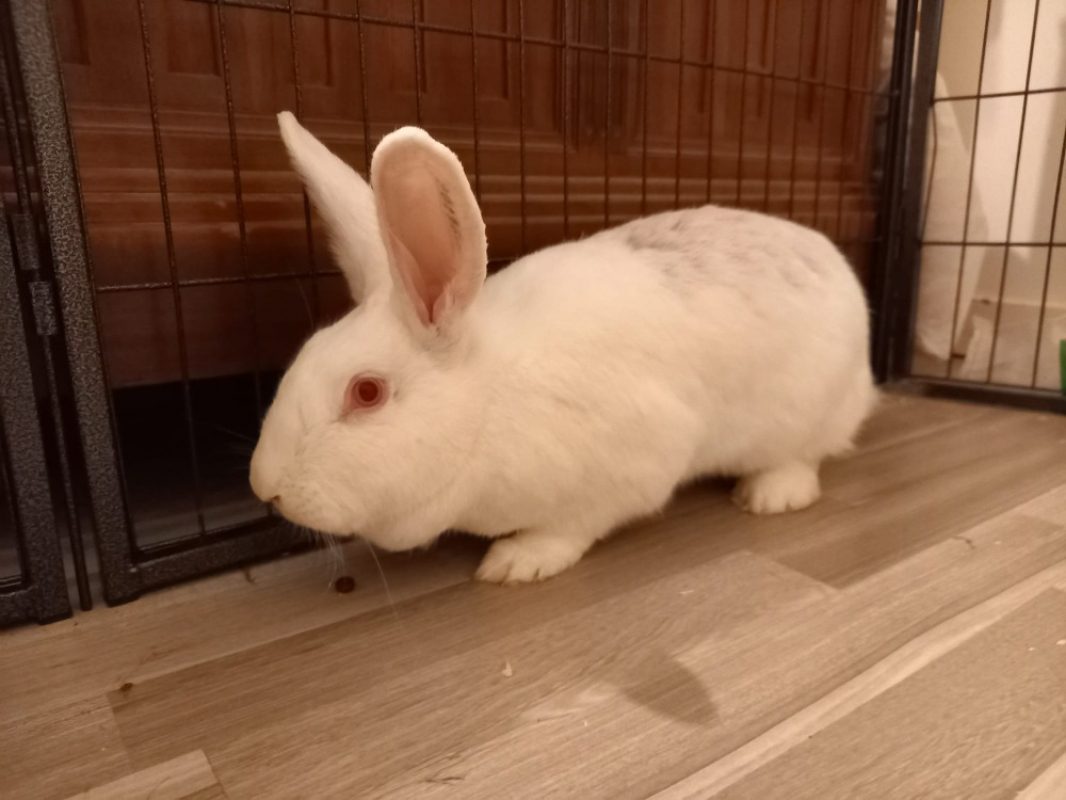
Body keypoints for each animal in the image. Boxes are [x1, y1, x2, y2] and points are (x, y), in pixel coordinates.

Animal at [249, 111, 877, 584]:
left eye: (367, 392)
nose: (264, 488)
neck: (487, 406)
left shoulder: (632, 463)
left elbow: (571, 526)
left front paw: (515, 562)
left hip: (806, 413)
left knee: (804, 457)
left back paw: (769, 495)